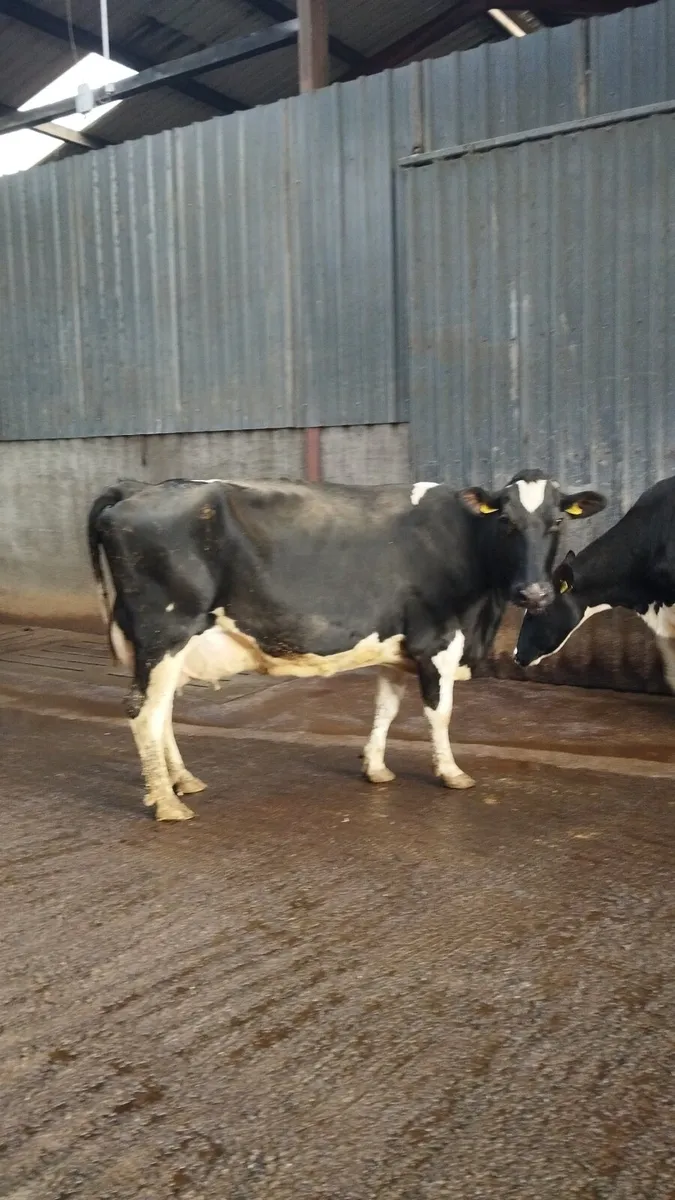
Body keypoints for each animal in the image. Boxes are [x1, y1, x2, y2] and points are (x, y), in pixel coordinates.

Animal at [87, 471, 605, 821]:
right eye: (508, 524)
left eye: (556, 522)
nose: (534, 593)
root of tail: (133, 488)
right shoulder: (435, 642)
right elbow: (439, 714)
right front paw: (450, 772)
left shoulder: (398, 646)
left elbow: (385, 708)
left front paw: (375, 768)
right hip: (164, 632)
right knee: (143, 712)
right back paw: (166, 803)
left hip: (166, 646)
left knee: (162, 711)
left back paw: (182, 782)